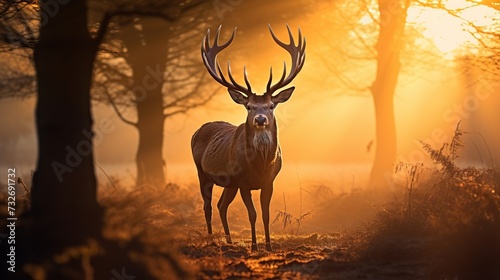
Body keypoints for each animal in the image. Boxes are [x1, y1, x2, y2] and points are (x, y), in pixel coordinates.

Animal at [190, 24, 304, 252]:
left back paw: (229, 241)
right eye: (249, 106)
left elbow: (266, 215)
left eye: (271, 105)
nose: (260, 119)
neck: (261, 164)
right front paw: (254, 246)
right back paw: (211, 240)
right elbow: (252, 214)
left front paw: (268, 246)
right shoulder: (243, 181)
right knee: (207, 205)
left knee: (221, 205)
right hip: (202, 172)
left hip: (229, 183)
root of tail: (197, 131)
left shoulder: (269, 181)